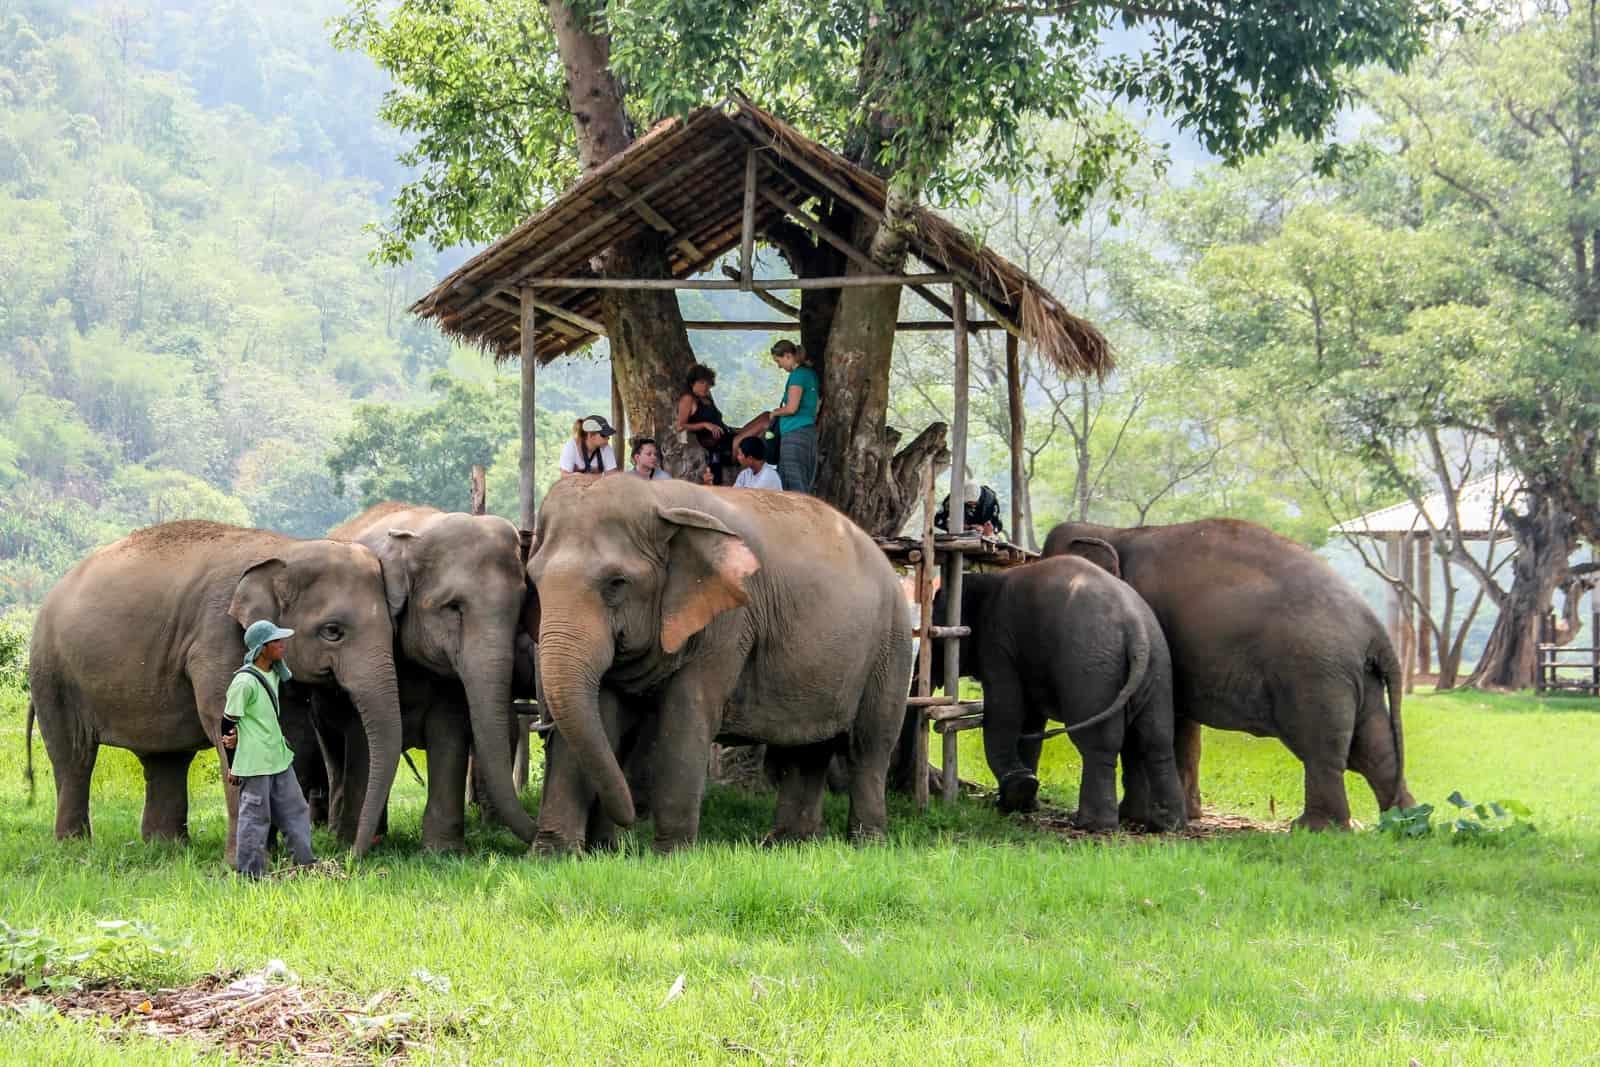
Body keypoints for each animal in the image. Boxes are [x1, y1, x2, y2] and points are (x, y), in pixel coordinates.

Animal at [26, 521, 406, 863]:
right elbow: (230, 727)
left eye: (392, 630)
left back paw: (167, 848)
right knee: (74, 756)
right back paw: (73, 848)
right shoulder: (218, 638)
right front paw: (243, 865)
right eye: (332, 631)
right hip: (52, 673)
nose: (353, 856)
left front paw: (269, 854)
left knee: (165, 759)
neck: (287, 548)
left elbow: (292, 731)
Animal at [302, 505, 540, 857]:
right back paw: (346, 832)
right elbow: (363, 738)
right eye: (453, 606)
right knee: (333, 748)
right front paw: (353, 846)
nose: (536, 835)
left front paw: (443, 851)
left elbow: (449, 732)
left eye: (521, 608)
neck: (423, 527)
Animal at [518, 470, 908, 857]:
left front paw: (671, 855)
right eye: (533, 581)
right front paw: (552, 856)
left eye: (617, 583)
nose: (628, 826)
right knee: (808, 749)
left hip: (891, 643)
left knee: (868, 745)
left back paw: (867, 845)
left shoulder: (728, 622)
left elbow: (687, 714)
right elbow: (600, 712)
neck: (658, 499)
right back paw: (788, 845)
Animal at [934, 556, 1184, 838]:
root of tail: (1137, 633)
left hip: (1091, 669)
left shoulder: (998, 641)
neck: (987, 581)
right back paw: (1167, 825)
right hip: (1158, 667)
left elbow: (1006, 709)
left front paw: (1016, 795)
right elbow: (1030, 719)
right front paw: (1024, 801)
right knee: (1156, 739)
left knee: (1099, 743)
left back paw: (1093, 825)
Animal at [1049, 515, 1414, 825]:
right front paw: (1189, 815)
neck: (1116, 530)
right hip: (1355, 676)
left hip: (1317, 674)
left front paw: (1134, 817)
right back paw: (1403, 821)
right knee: (1374, 746)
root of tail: (1375, 628)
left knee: (1322, 749)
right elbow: (1182, 725)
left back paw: (1315, 828)